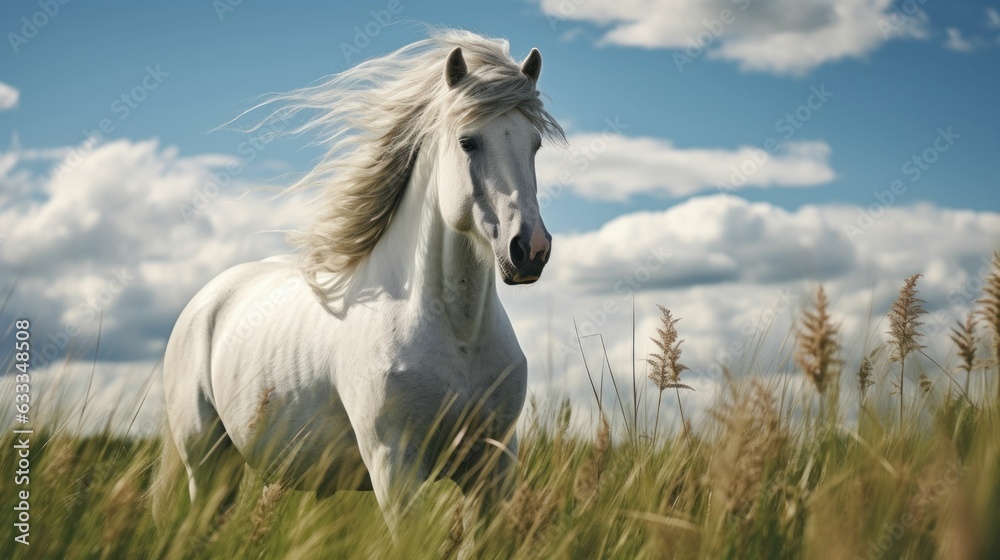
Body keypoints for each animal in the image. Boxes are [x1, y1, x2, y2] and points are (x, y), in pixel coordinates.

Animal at [154, 29, 565, 541]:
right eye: (468, 142)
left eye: (535, 144)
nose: (530, 249)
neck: (458, 333)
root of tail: (205, 302)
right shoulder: (395, 468)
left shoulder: (495, 465)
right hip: (207, 465)